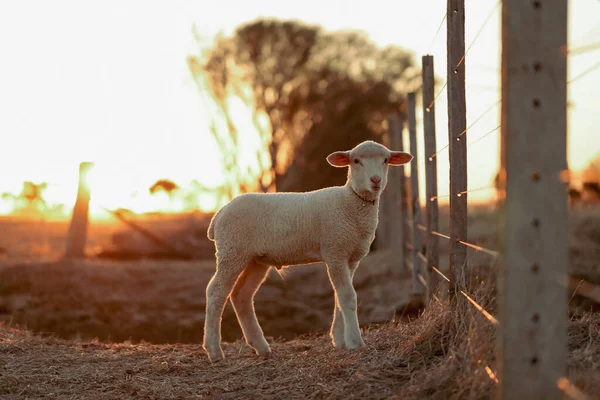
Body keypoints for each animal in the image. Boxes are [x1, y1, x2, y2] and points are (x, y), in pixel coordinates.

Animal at [202, 141, 412, 362]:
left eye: (386, 160)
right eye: (356, 161)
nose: (376, 180)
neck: (351, 203)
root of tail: (219, 214)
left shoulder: (351, 258)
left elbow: (339, 297)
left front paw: (339, 340)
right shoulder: (335, 251)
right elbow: (347, 296)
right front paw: (355, 342)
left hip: (255, 259)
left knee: (241, 295)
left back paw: (261, 347)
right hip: (232, 251)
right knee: (216, 292)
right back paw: (214, 351)